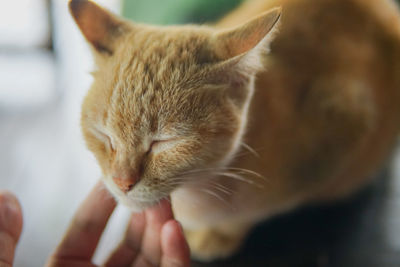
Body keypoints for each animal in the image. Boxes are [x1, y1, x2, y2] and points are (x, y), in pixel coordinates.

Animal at [69, 0, 400, 262]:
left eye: (164, 141)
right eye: (104, 135)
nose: (121, 182)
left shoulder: (342, 133)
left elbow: (251, 214)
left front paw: (220, 234)